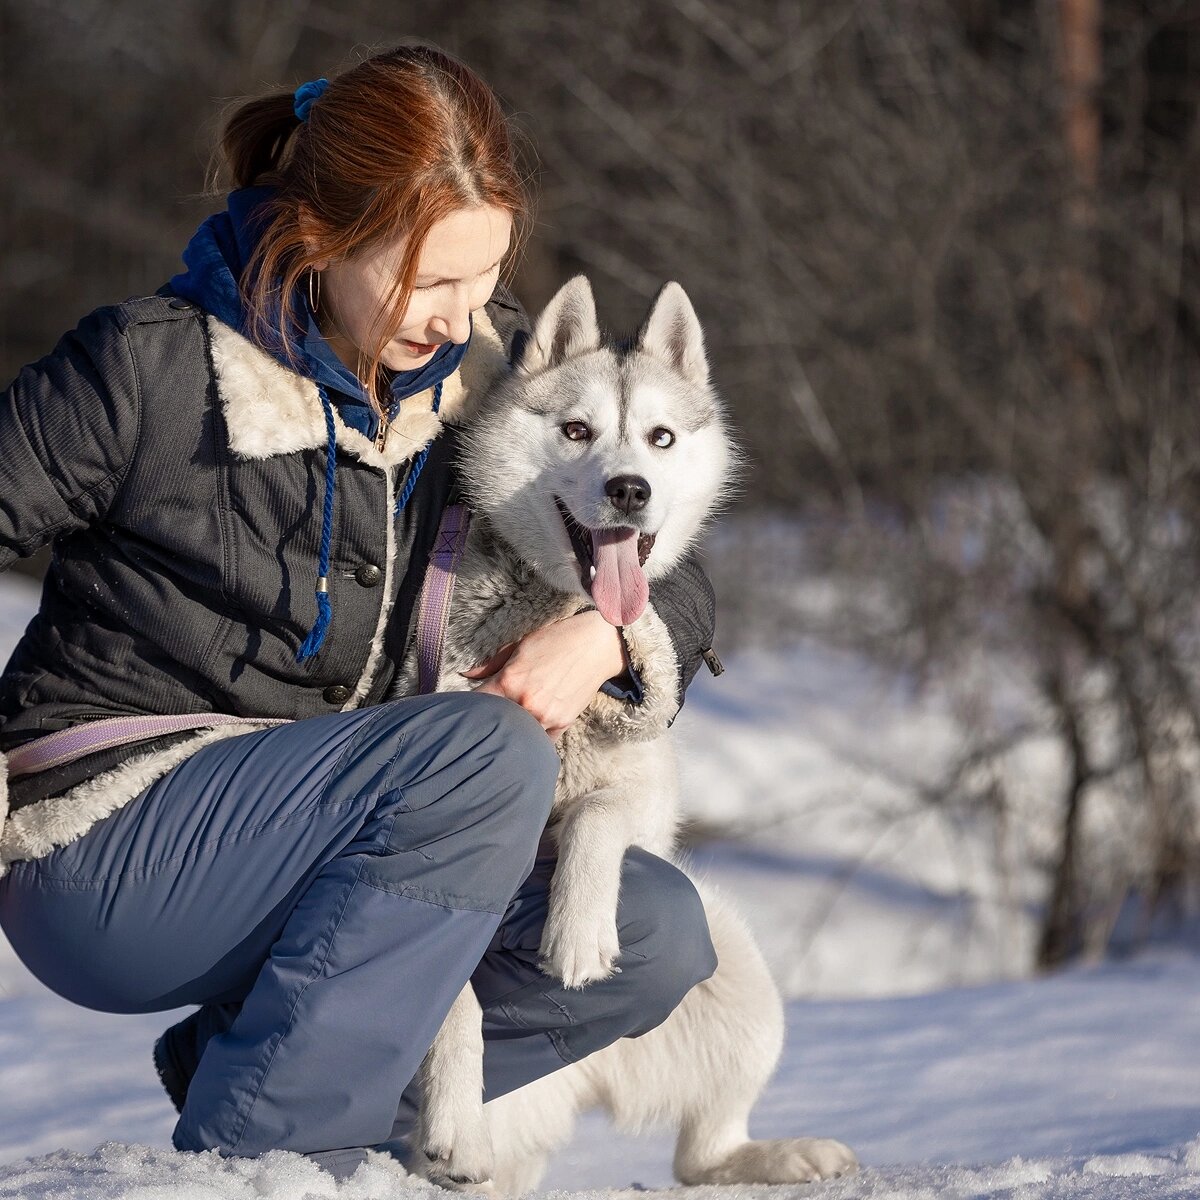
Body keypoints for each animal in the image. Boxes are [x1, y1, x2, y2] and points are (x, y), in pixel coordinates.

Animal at [391, 278, 854, 1190]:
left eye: (660, 437)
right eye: (576, 430)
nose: (631, 490)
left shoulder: (642, 804)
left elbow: (599, 817)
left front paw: (578, 929)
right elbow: (447, 987)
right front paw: (453, 1116)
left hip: (740, 972)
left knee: (702, 1153)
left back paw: (785, 1155)